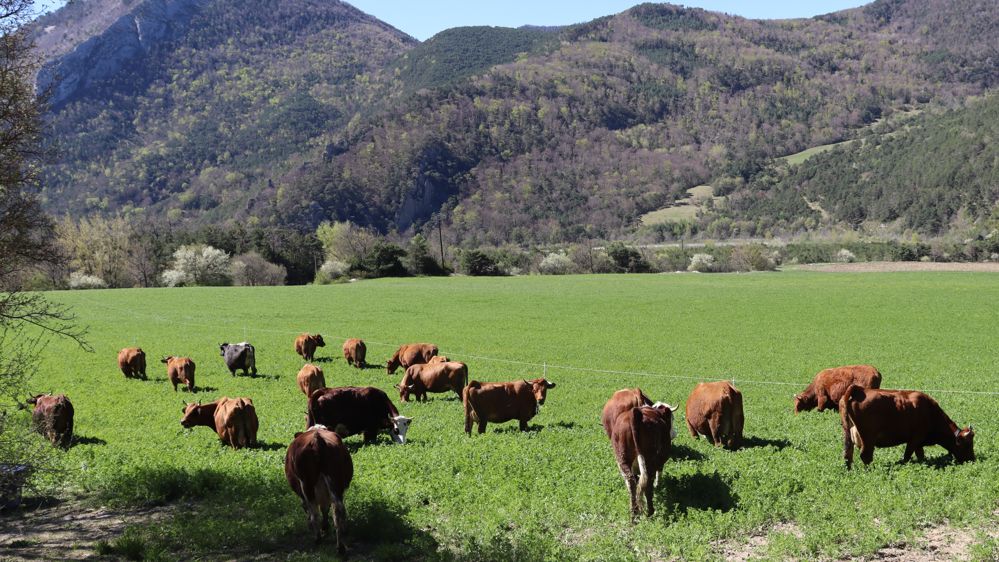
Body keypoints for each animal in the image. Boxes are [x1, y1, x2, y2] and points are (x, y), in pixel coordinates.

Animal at [840, 385, 974, 469]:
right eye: (967, 444)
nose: (973, 460)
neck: (930, 412)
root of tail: (860, 389)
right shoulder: (914, 439)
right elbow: (907, 456)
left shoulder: (918, 443)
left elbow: (920, 456)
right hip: (868, 439)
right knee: (865, 456)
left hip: (848, 435)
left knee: (848, 454)